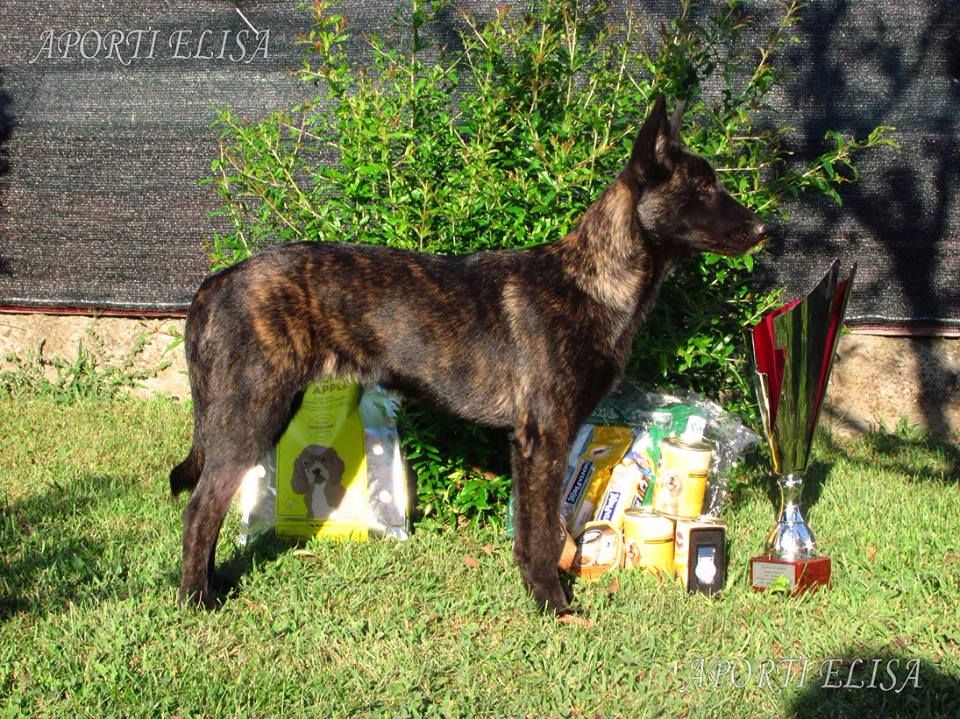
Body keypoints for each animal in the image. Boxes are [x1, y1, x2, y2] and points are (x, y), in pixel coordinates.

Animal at [167, 95, 764, 612]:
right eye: (704, 187)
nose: (763, 229)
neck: (590, 281)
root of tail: (216, 284)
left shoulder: (529, 446)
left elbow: (531, 534)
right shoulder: (546, 439)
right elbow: (543, 536)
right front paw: (553, 605)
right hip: (252, 417)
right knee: (200, 509)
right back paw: (198, 598)